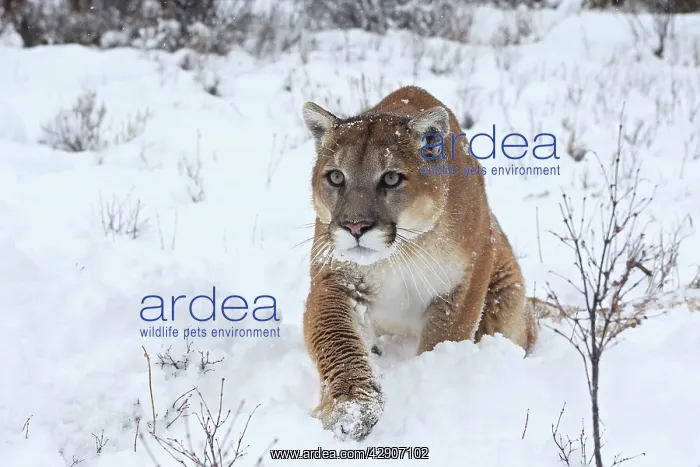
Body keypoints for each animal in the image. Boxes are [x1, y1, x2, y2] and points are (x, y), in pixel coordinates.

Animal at [300, 85, 538, 441]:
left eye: (391, 178)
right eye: (336, 177)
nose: (355, 226)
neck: (401, 252)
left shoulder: (466, 279)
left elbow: (444, 336)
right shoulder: (335, 277)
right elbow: (335, 338)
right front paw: (350, 410)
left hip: (507, 304)